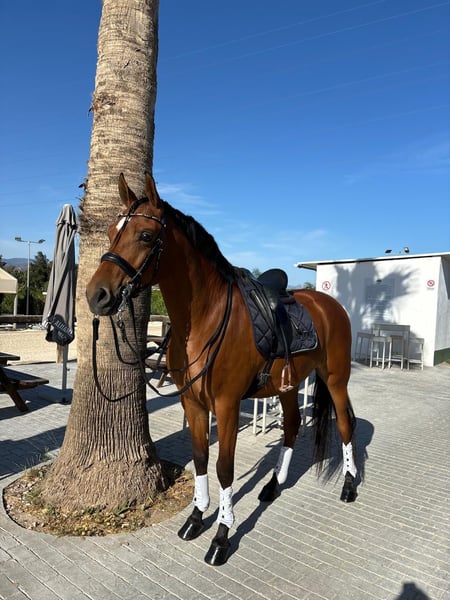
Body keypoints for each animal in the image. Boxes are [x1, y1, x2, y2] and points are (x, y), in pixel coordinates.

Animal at [86, 173, 358, 566]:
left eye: (146, 236)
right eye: (110, 232)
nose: (97, 295)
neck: (205, 319)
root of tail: (328, 304)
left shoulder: (227, 406)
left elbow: (223, 468)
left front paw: (222, 536)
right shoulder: (193, 404)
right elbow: (200, 458)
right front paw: (196, 517)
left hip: (336, 379)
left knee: (345, 425)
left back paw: (350, 485)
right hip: (289, 386)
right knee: (292, 427)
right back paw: (273, 485)